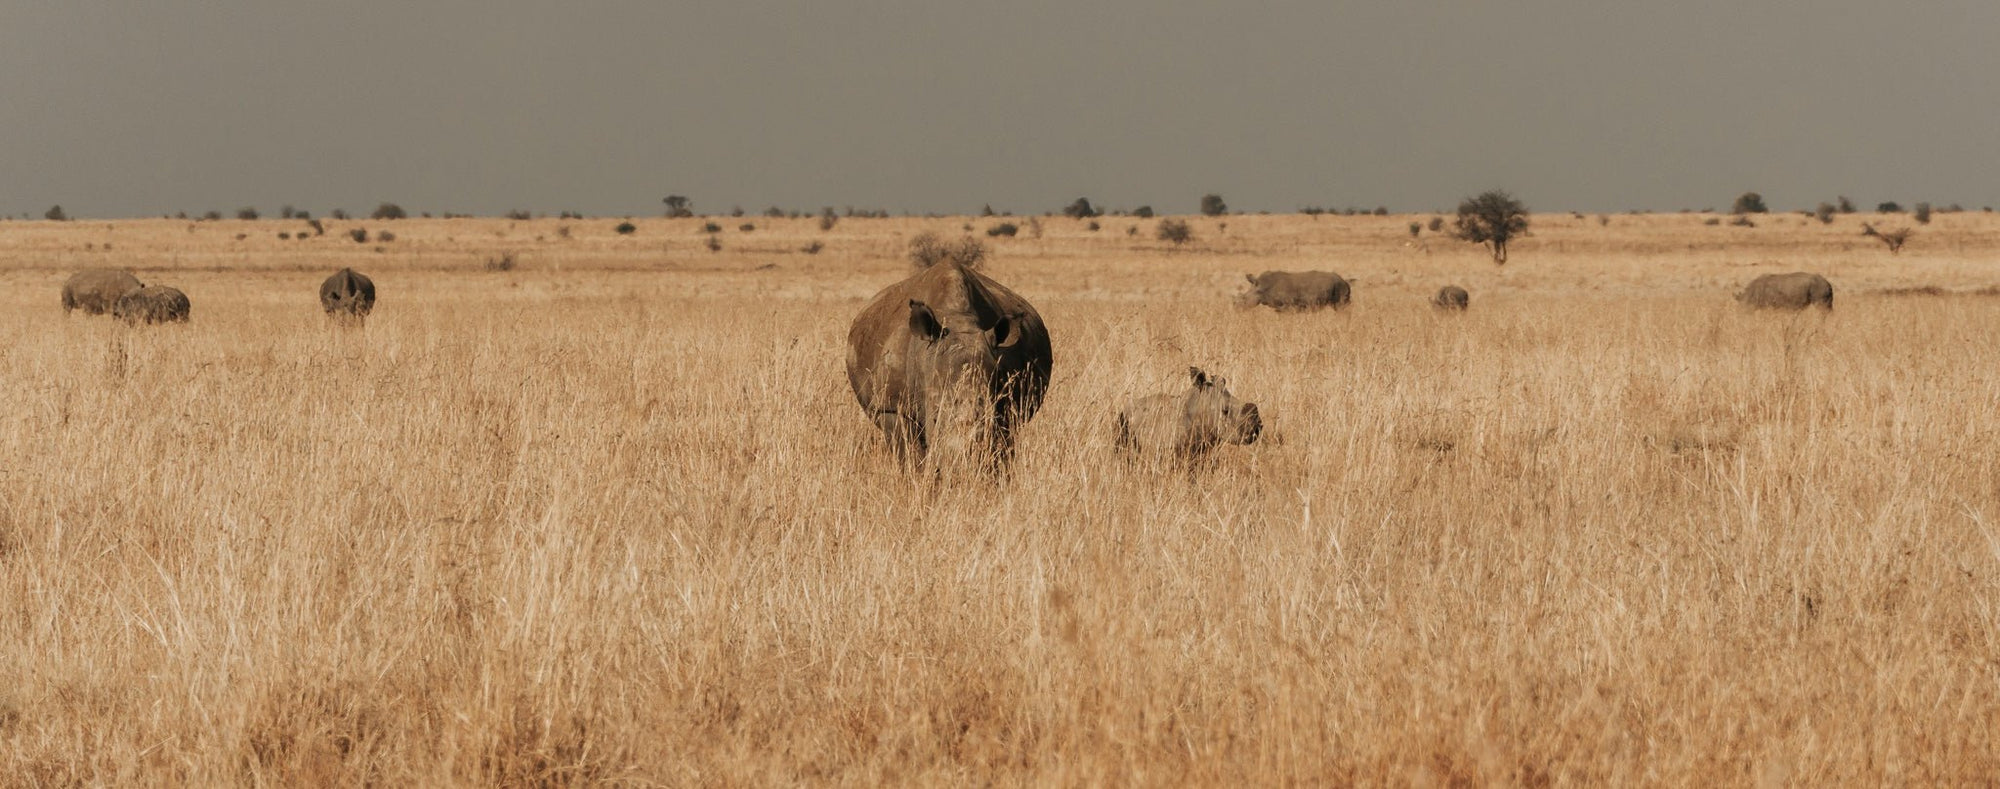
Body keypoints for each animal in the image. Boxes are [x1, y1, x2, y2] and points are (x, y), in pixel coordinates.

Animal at [846, 260, 1053, 471]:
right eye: (935, 417)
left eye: (988, 415)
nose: (961, 460)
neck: (958, 319)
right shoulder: (891, 406)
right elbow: (910, 455)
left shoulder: (1007, 406)